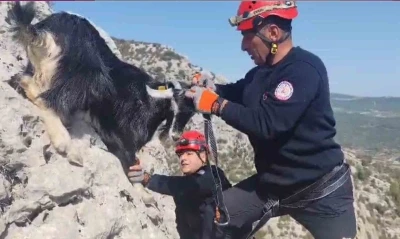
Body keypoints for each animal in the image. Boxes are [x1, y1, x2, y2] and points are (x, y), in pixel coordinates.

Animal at [5, 1, 195, 173]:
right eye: (173, 108)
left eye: (191, 112)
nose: (175, 137)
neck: (148, 99)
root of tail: (45, 33)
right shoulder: (120, 132)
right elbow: (129, 157)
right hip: (90, 75)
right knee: (46, 98)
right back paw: (66, 145)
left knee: (28, 83)